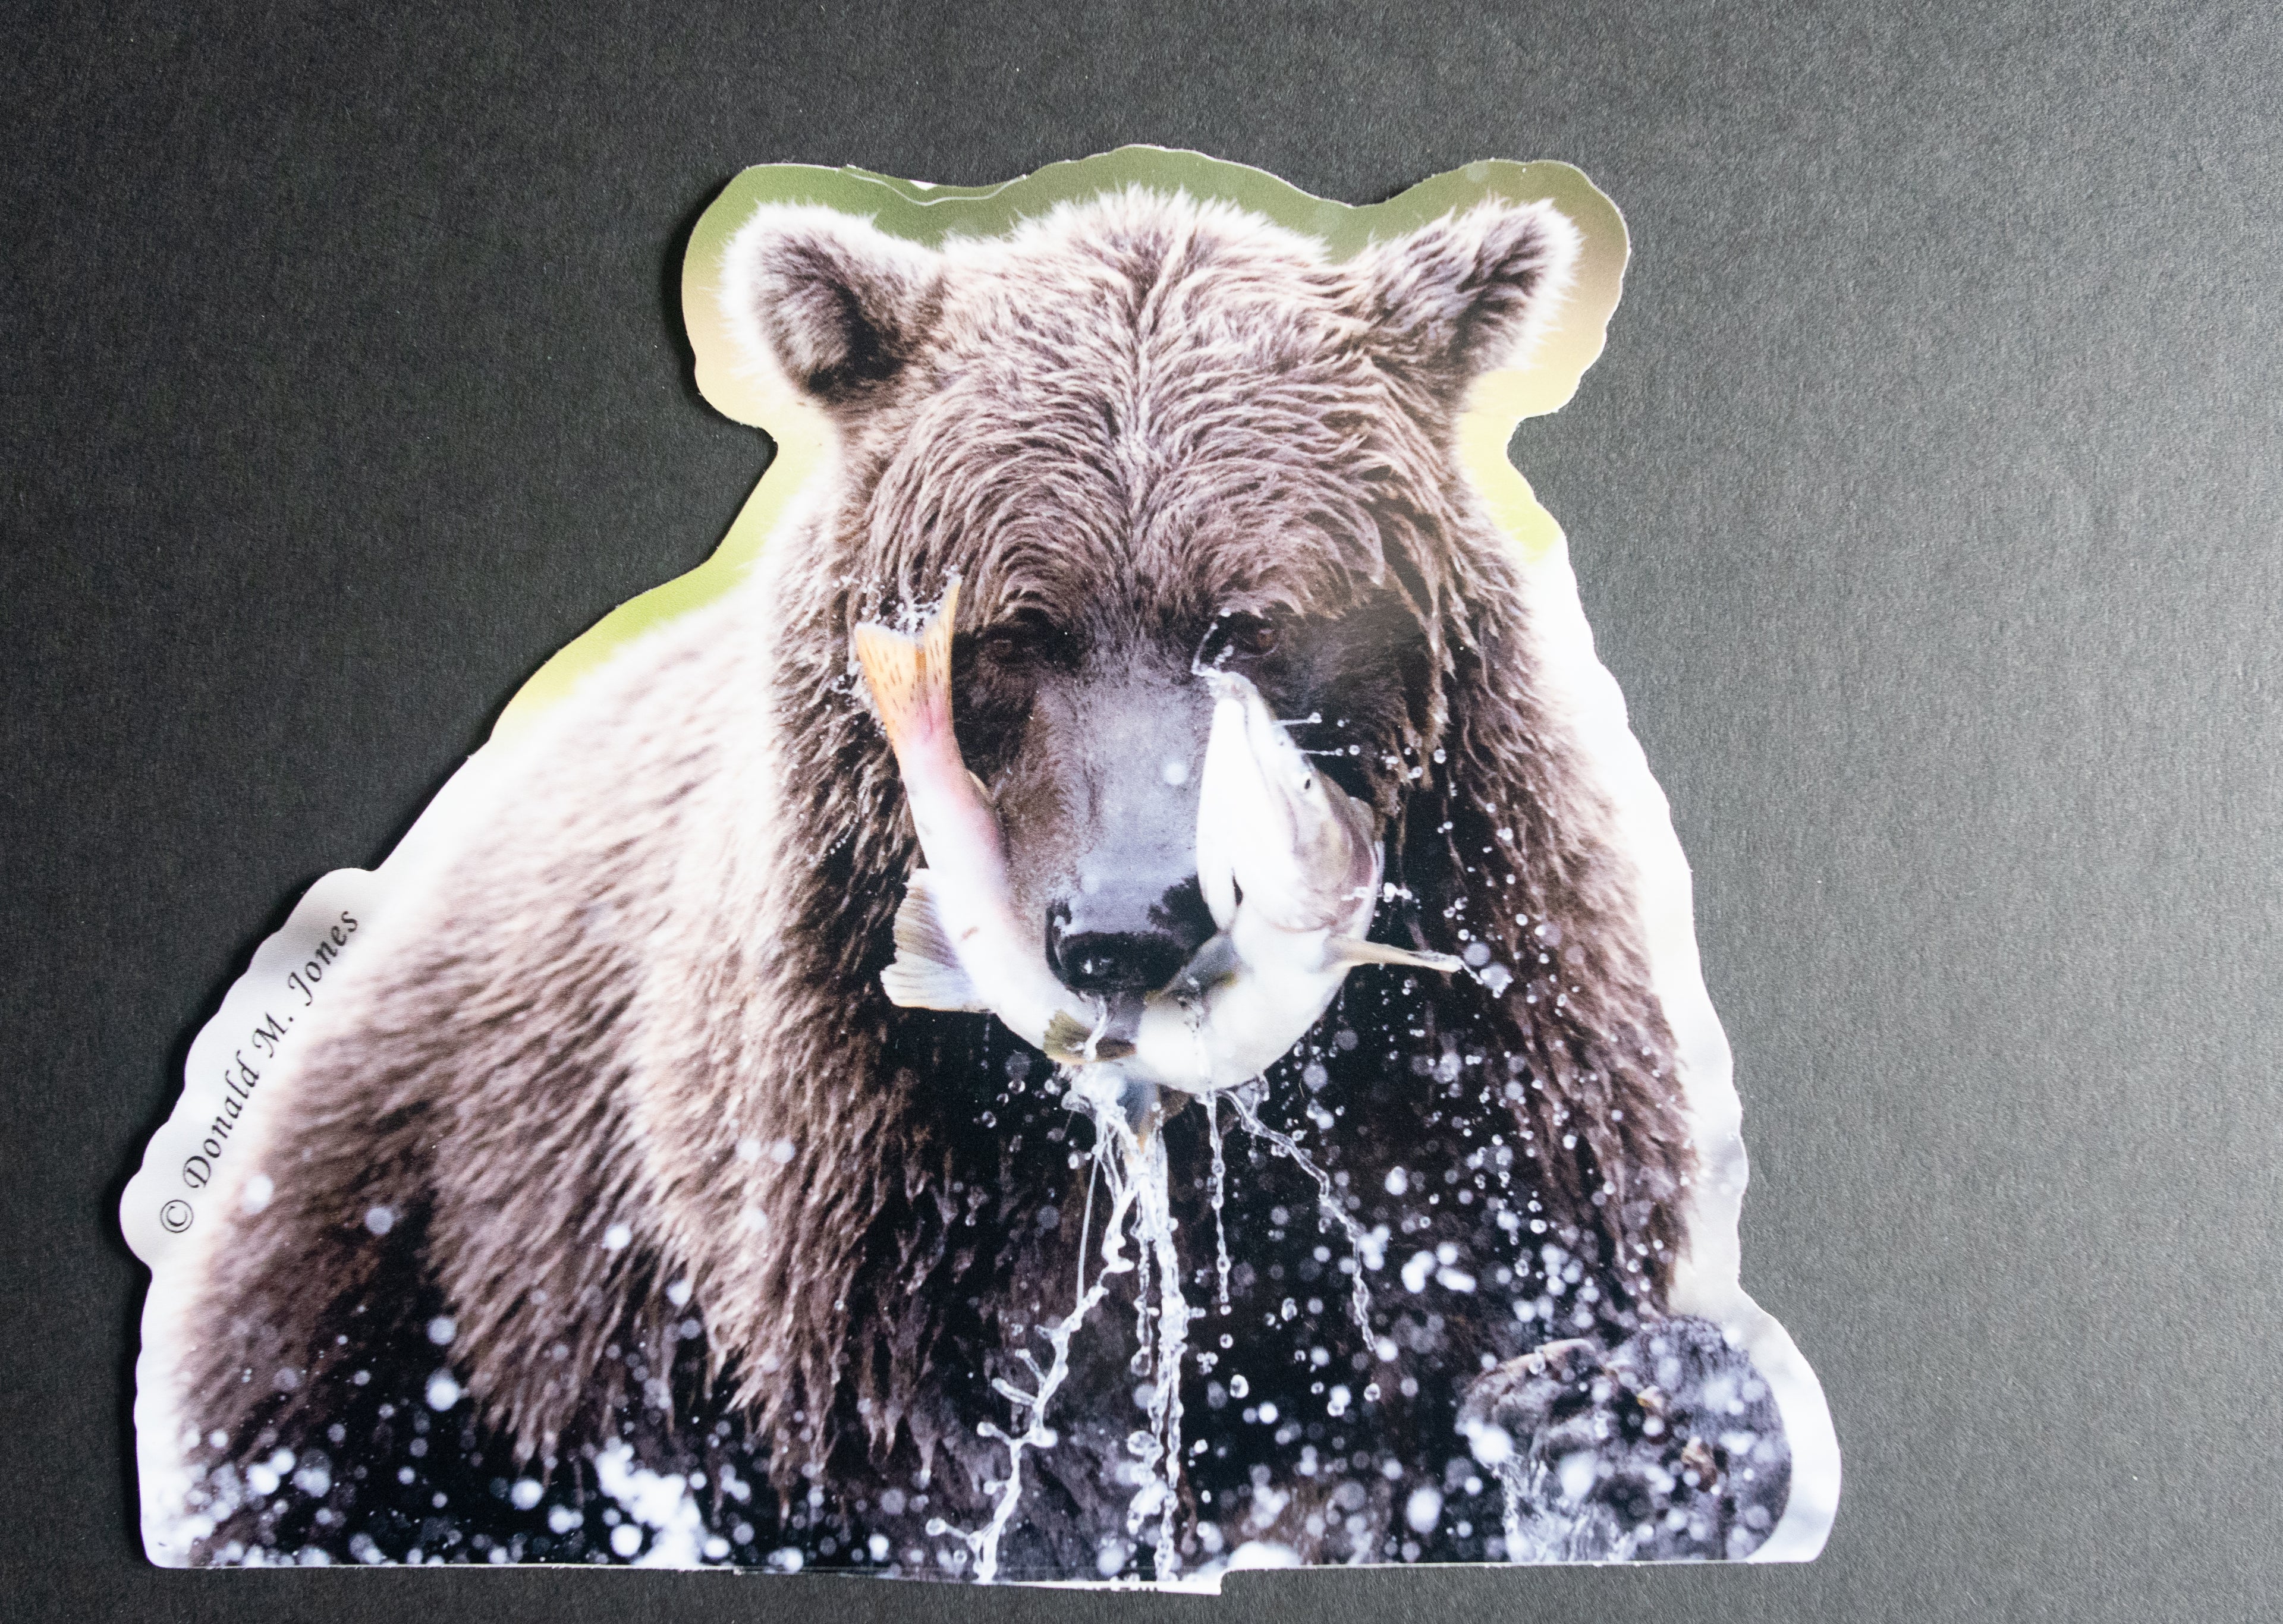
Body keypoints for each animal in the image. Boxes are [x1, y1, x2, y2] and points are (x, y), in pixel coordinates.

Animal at [151, 180, 1801, 1577]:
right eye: (1016, 628)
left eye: (1250, 623)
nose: (1132, 923)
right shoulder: (850, 1139)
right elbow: (958, 1423)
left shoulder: (1492, 1033)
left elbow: (1474, 1309)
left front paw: (1625, 1430)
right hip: (414, 1260)